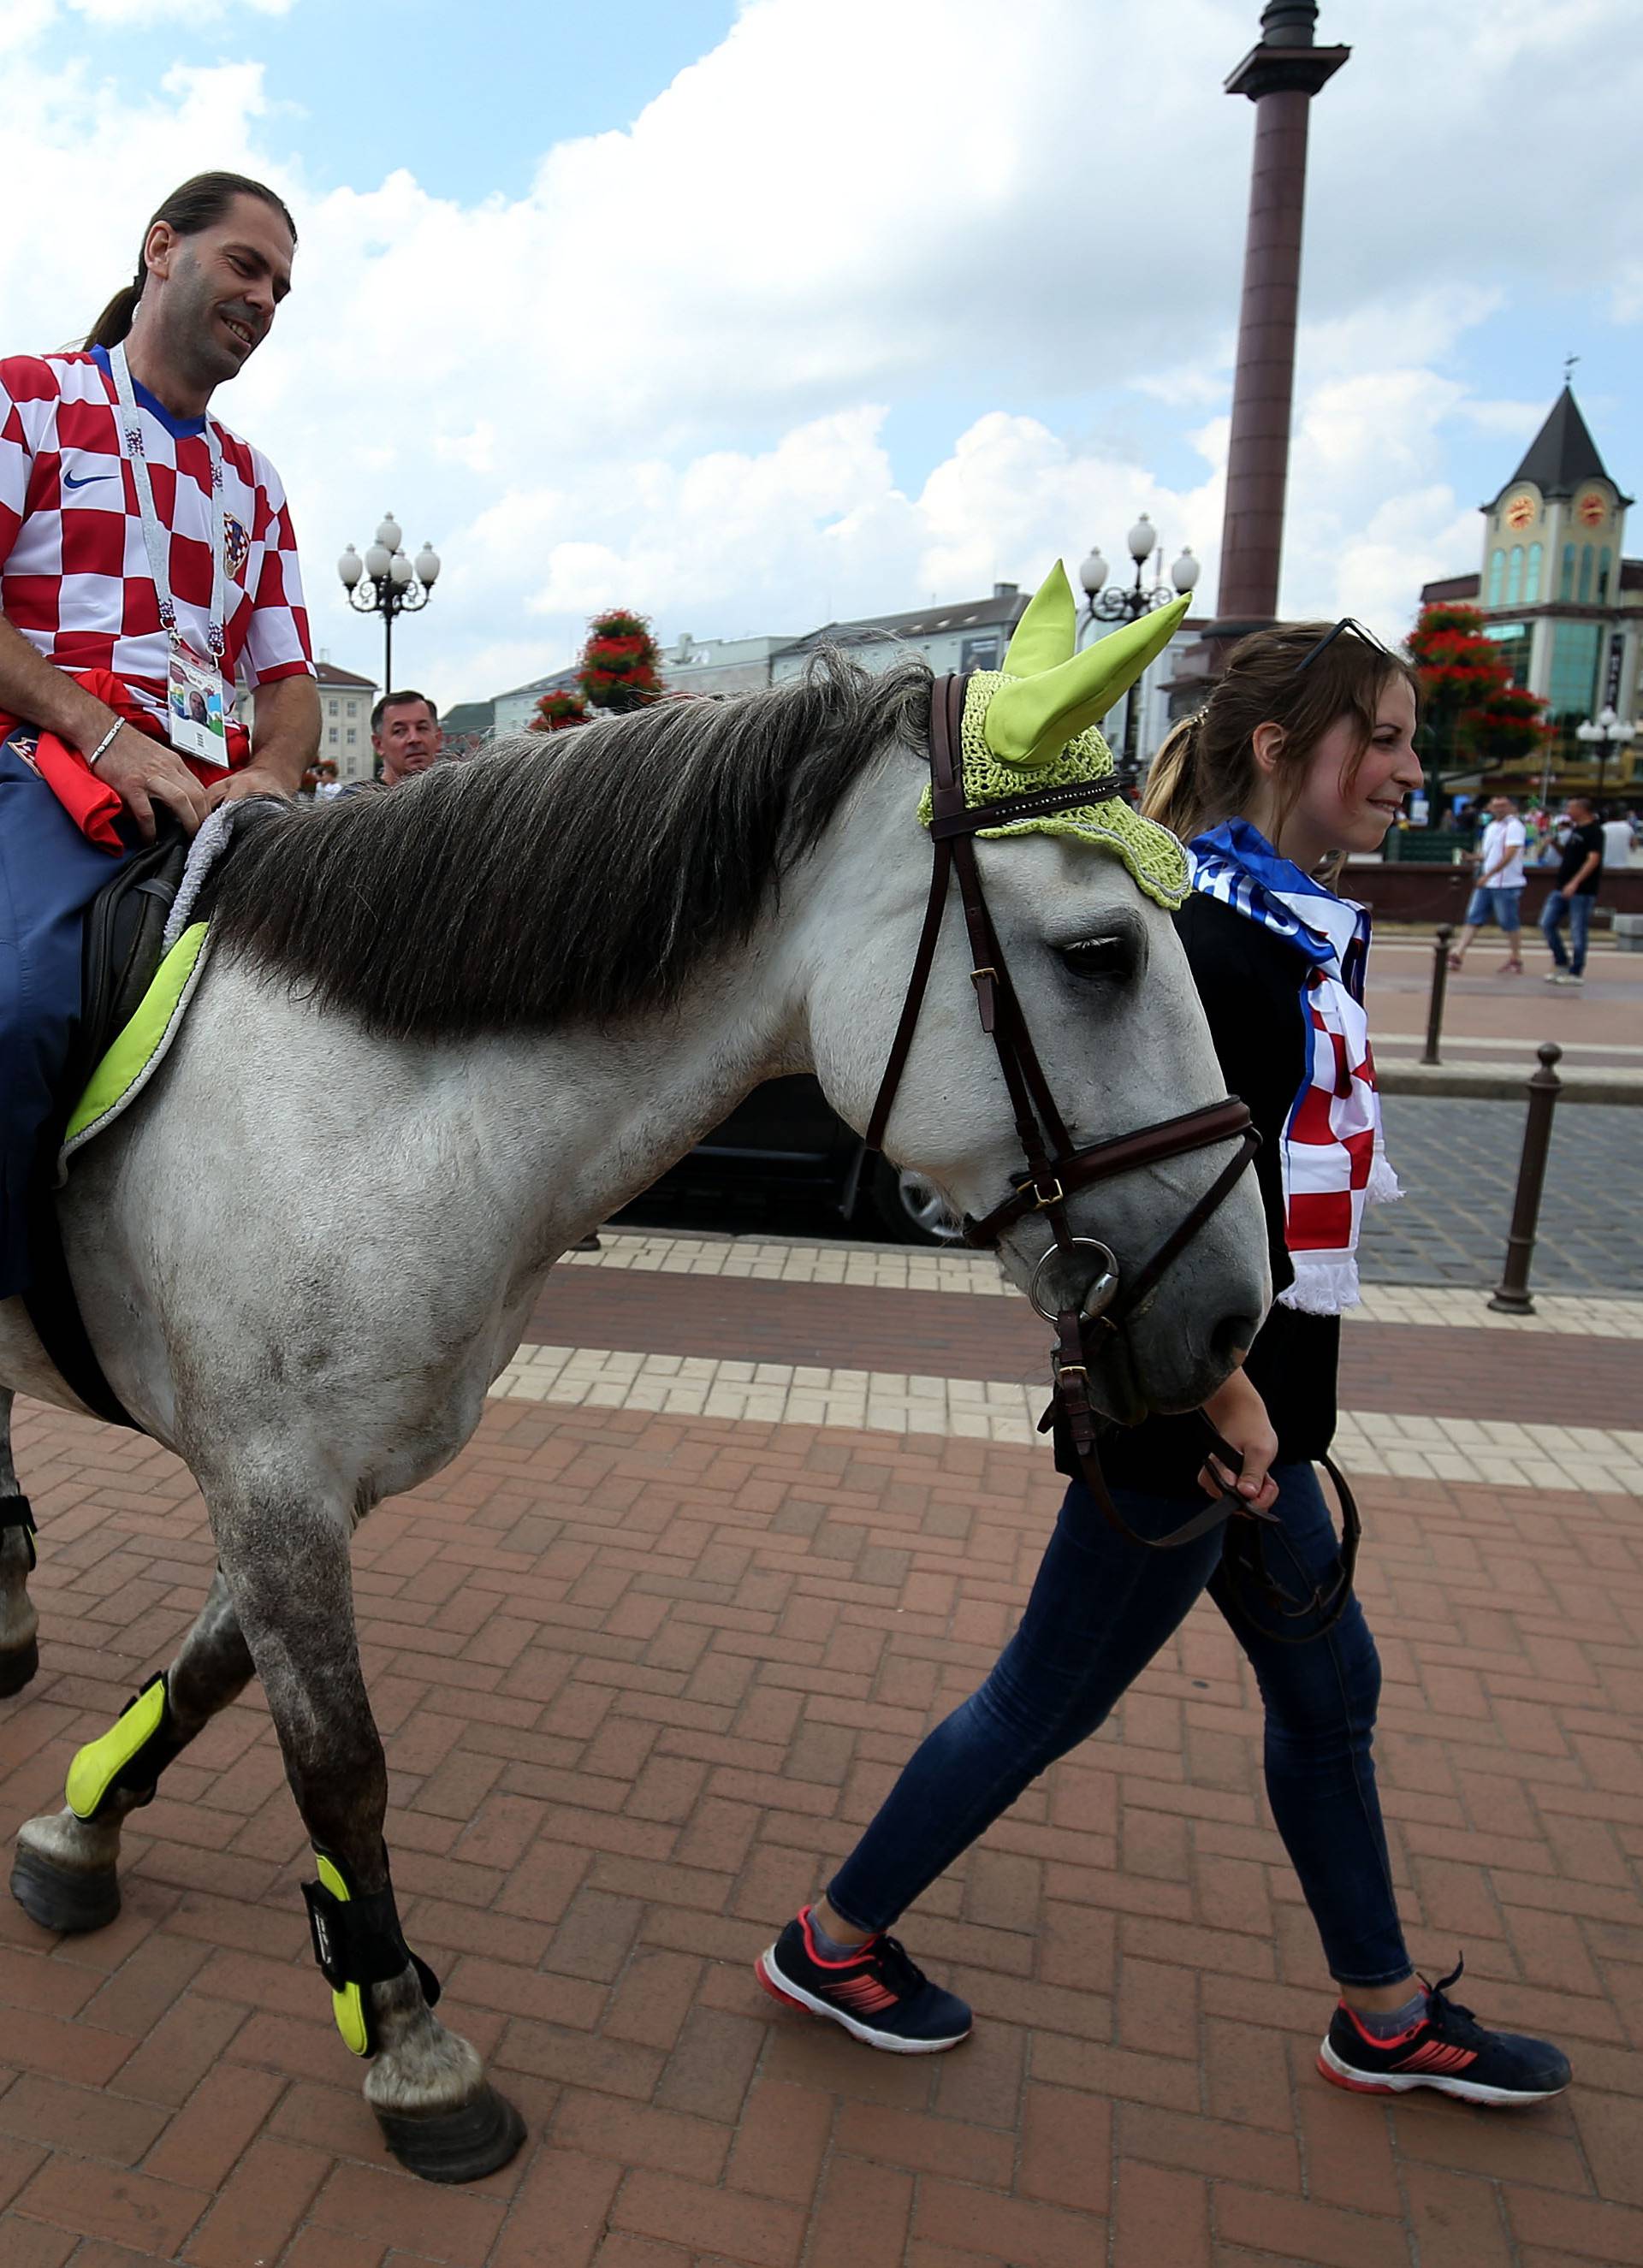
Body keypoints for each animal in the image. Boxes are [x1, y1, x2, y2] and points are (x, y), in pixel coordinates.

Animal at [0, 625, 1271, 2176]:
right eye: (1101, 952)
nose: (1234, 1313)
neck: (368, 1107)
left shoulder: (312, 1481)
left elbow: (209, 1674)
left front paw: (83, 1828)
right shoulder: (275, 1480)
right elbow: (341, 1760)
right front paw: (410, 2044)